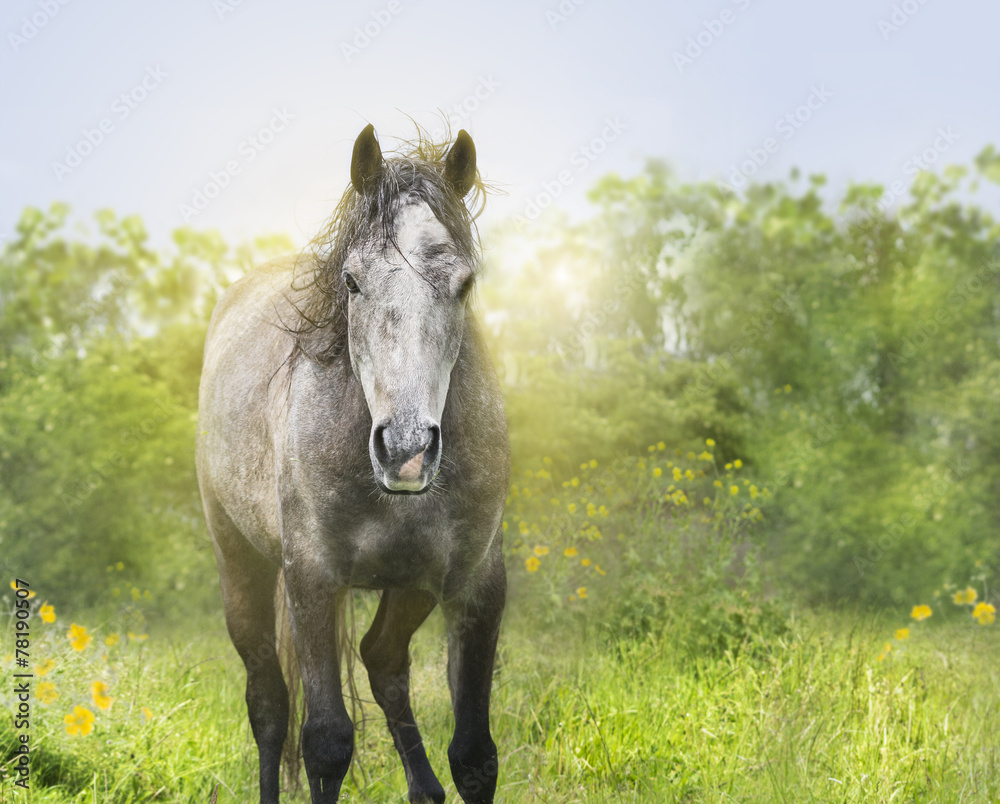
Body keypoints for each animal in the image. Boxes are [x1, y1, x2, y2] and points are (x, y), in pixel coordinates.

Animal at [195, 125, 508, 804]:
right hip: (242, 566)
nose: (407, 451)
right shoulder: (313, 582)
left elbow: (475, 754)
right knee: (269, 704)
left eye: (465, 284)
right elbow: (326, 744)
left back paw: (424, 788)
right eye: (353, 282)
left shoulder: (475, 587)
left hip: (410, 585)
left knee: (382, 660)